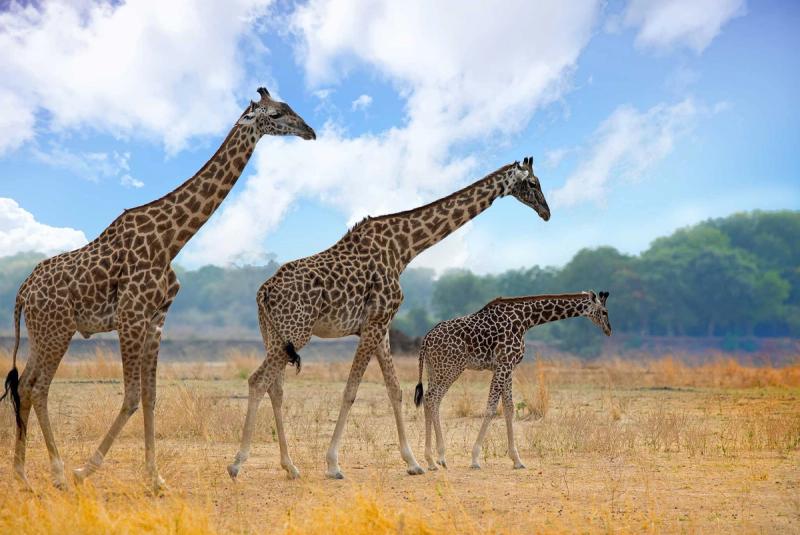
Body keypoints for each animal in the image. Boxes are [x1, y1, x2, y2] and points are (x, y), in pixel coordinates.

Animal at [0, 87, 315, 492]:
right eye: (275, 114)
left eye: (290, 108)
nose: (310, 131)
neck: (171, 241)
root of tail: (23, 290)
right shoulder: (130, 316)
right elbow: (132, 396)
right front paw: (87, 468)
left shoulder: (156, 319)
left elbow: (150, 397)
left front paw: (155, 477)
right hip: (56, 329)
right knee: (39, 388)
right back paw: (58, 472)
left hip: (45, 331)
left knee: (24, 385)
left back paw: (22, 474)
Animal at [227, 156, 551, 481]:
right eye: (533, 183)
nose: (546, 213)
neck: (404, 248)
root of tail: (264, 291)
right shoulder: (374, 323)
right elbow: (351, 391)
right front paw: (333, 464)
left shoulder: (380, 327)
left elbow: (395, 390)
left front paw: (413, 462)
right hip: (297, 332)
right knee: (258, 381)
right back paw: (237, 463)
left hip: (275, 335)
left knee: (275, 388)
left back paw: (290, 466)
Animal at [414, 291, 611, 471]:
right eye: (604, 311)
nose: (609, 330)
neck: (526, 320)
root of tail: (426, 339)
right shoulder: (504, 364)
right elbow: (491, 408)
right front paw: (475, 459)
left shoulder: (509, 367)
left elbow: (509, 409)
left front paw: (517, 460)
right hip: (450, 368)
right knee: (433, 398)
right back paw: (438, 458)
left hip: (434, 369)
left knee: (429, 399)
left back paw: (432, 460)